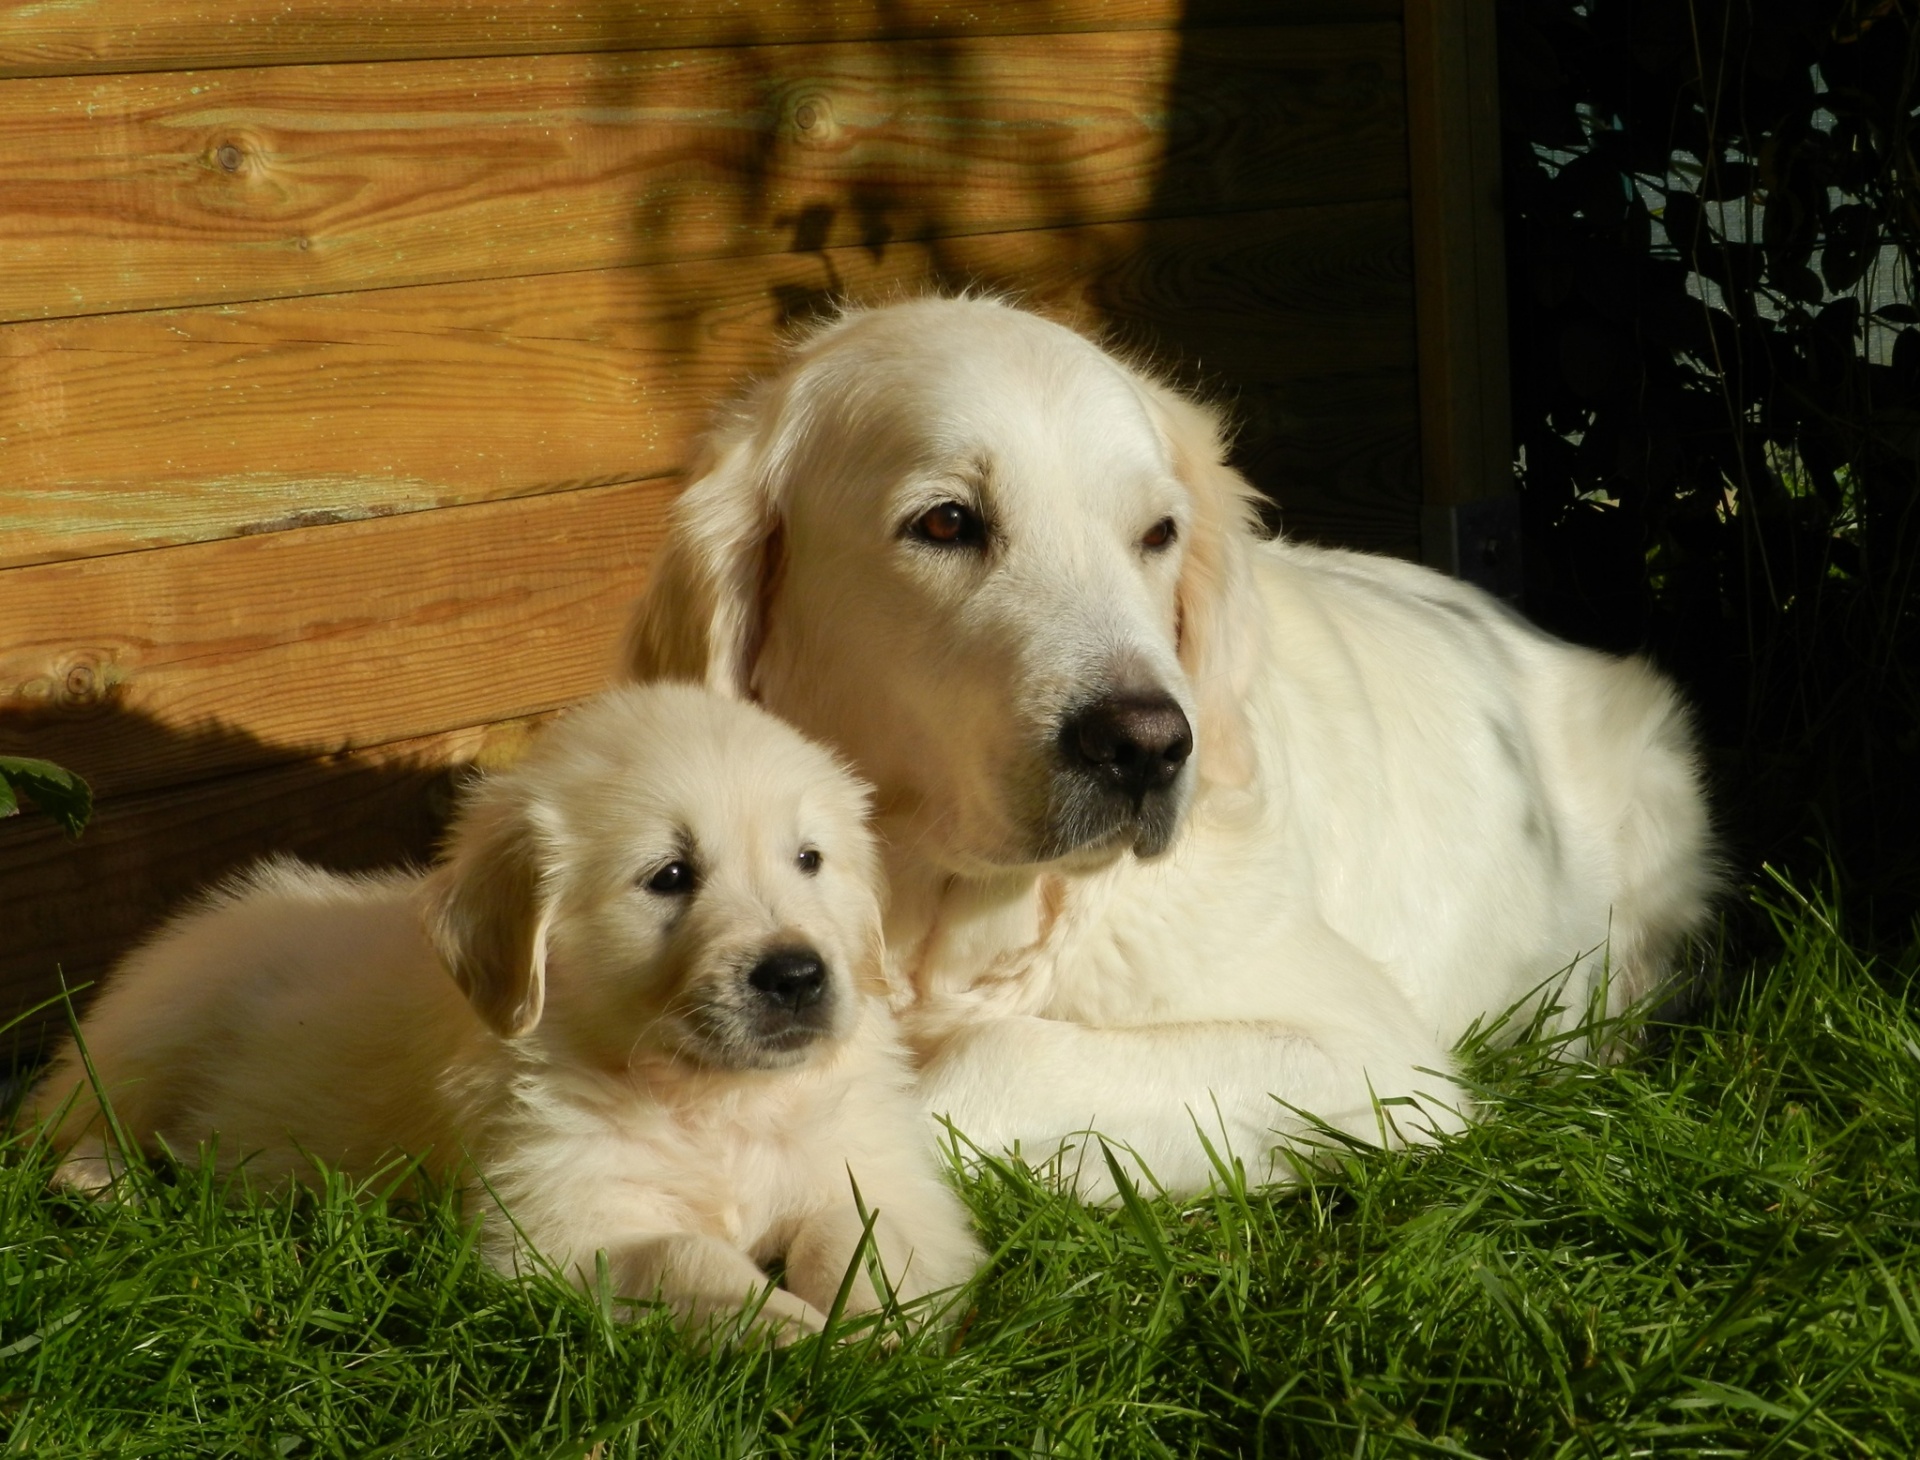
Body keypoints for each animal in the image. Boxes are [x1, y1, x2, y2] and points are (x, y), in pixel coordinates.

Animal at [30, 687, 983, 1344]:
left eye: (810, 860)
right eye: (670, 876)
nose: (796, 975)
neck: (709, 1100)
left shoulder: (872, 1166)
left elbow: (861, 1232)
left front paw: (876, 1329)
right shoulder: (554, 1227)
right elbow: (687, 1256)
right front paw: (793, 1331)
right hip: (153, 1025)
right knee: (62, 1120)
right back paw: (99, 1180)